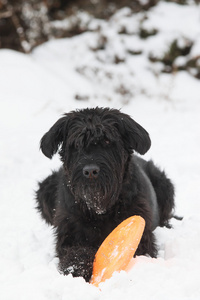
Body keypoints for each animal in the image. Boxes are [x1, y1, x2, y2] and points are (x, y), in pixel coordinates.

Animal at [36, 107, 175, 282]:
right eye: (76, 144)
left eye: (107, 141)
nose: (90, 171)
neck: (99, 210)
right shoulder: (68, 235)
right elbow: (74, 253)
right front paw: (77, 268)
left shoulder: (142, 236)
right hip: (45, 187)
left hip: (165, 185)